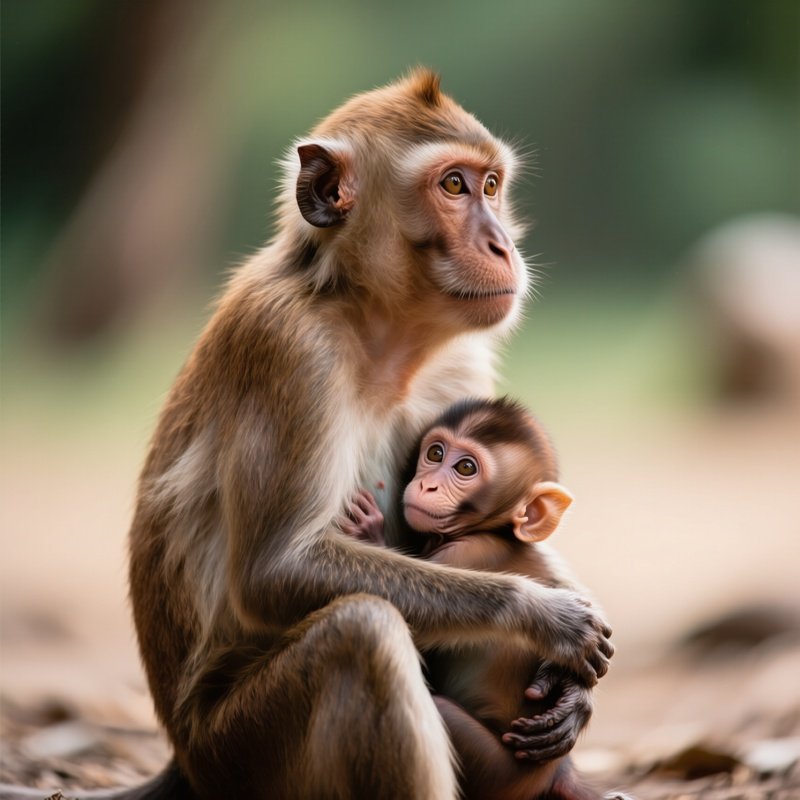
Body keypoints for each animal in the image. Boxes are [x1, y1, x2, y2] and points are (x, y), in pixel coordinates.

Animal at [342, 396, 604, 800]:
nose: (428, 484)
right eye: (435, 453)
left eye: (466, 467)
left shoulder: (461, 554)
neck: (494, 531)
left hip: (498, 772)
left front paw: (370, 534)